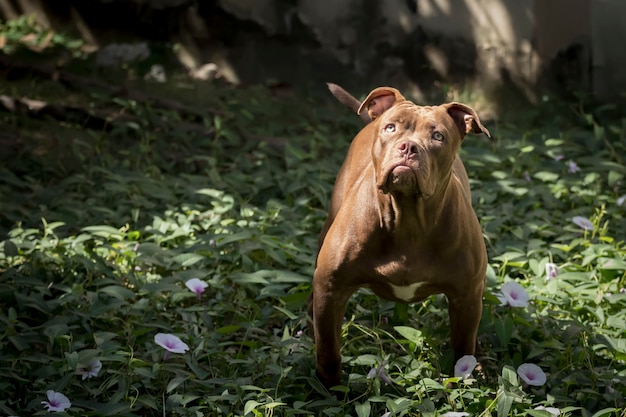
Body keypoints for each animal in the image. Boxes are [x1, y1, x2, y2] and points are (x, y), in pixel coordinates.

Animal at [306, 83, 488, 386]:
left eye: (438, 136)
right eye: (391, 128)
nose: (408, 147)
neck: (408, 219)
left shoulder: (468, 295)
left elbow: (464, 347)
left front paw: (467, 377)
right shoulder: (331, 289)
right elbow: (329, 349)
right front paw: (329, 387)